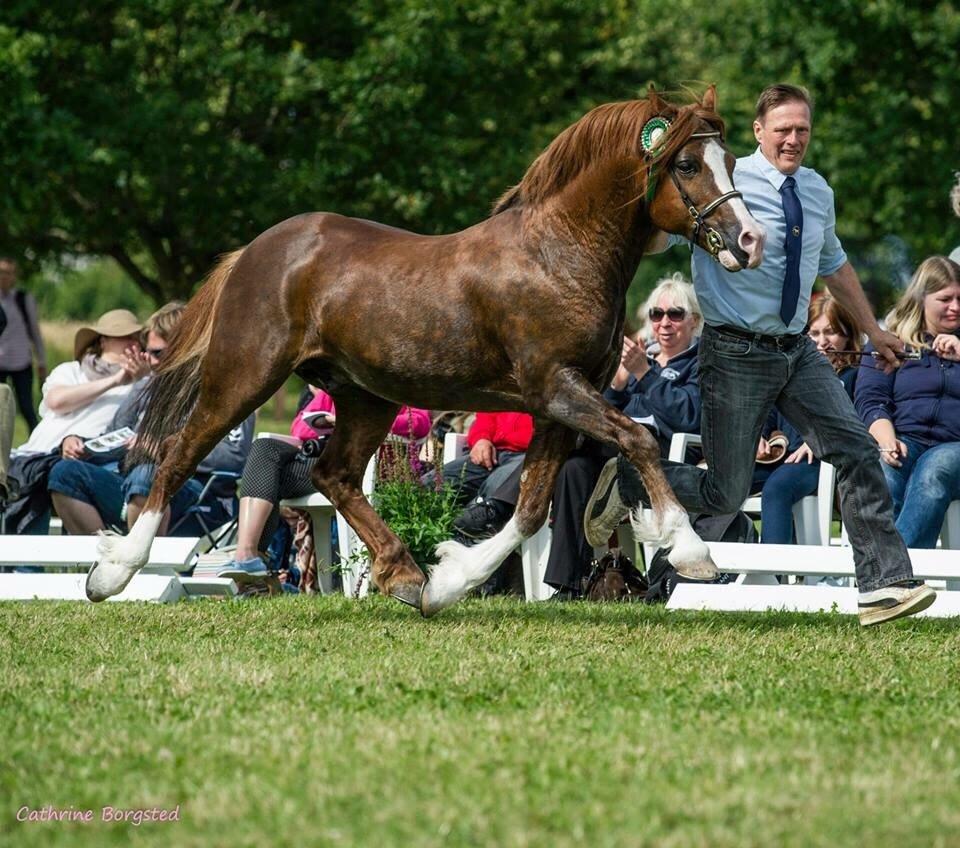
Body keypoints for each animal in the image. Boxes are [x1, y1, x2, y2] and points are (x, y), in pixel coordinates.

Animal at [88, 86, 764, 612]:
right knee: (177, 454)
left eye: (731, 158)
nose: (749, 242)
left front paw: (448, 581)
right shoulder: (556, 388)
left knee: (334, 475)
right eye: (687, 165)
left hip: (366, 397)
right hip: (244, 375)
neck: (559, 255)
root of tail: (255, 251)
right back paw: (112, 574)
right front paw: (692, 551)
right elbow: (638, 440)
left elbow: (530, 508)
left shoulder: (558, 405)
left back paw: (406, 576)